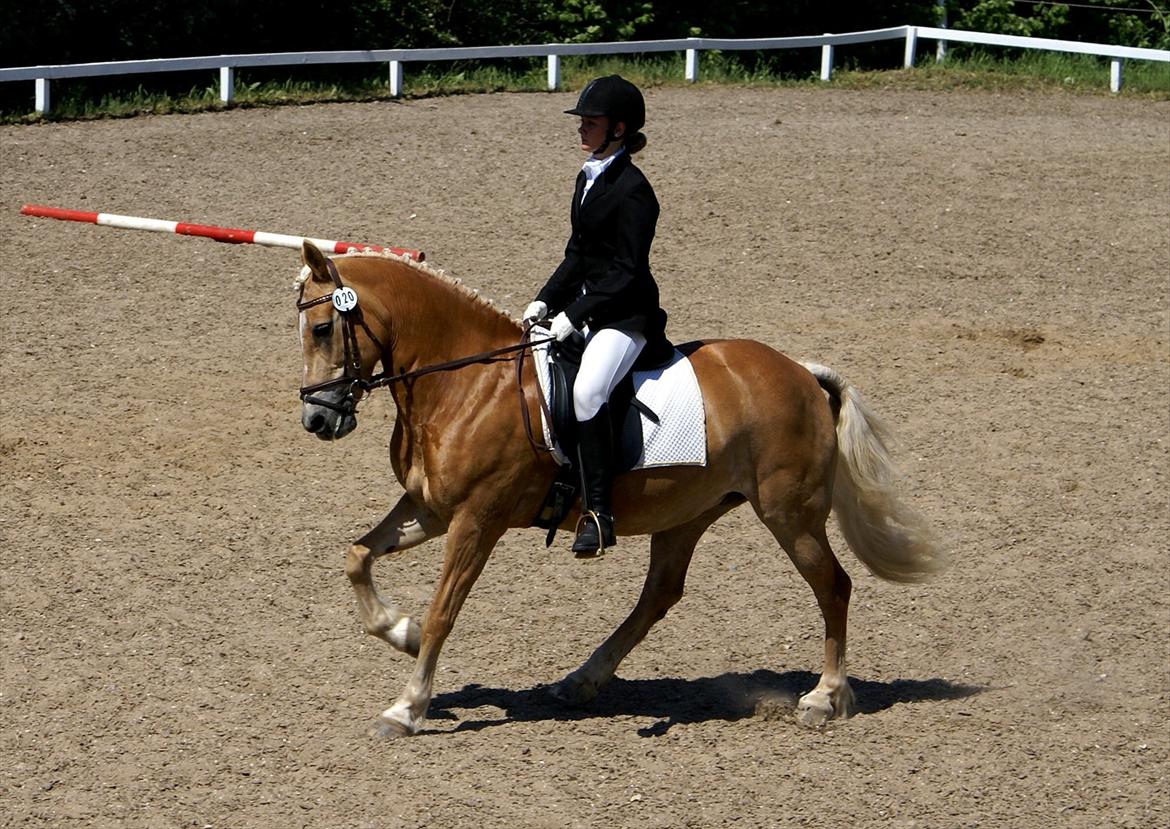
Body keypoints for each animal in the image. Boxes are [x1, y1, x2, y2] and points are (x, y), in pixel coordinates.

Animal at [297, 239, 945, 738]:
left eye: (324, 328)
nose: (318, 420)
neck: (467, 384)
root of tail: (803, 375)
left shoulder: (477, 519)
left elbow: (442, 612)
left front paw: (406, 707)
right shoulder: (431, 508)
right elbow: (356, 556)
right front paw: (398, 631)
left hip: (790, 514)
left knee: (833, 587)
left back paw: (824, 698)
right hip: (688, 513)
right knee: (660, 594)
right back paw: (581, 680)